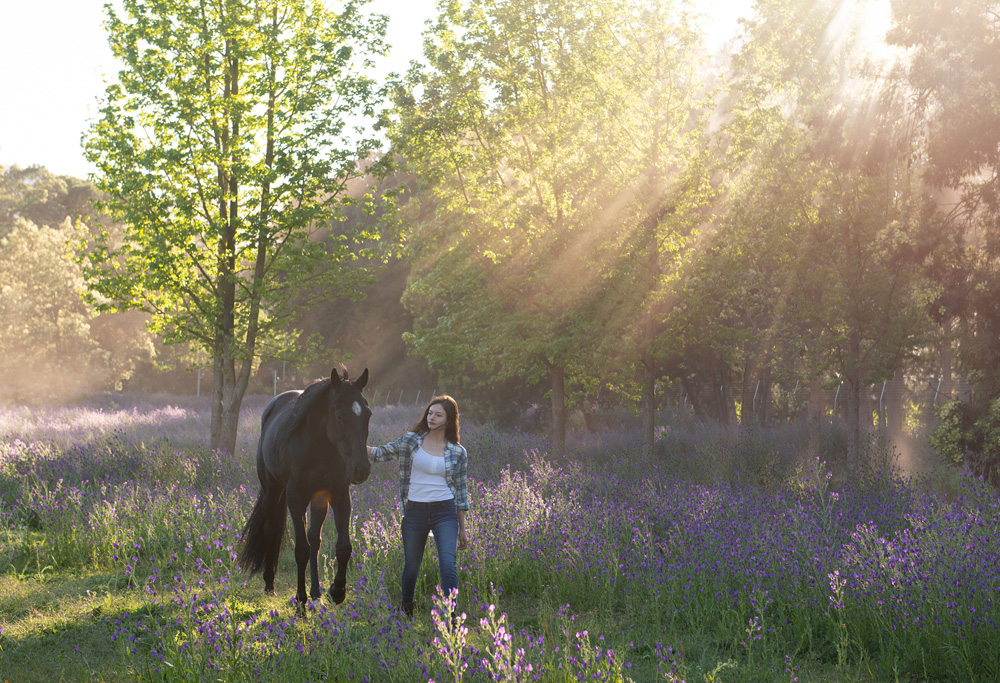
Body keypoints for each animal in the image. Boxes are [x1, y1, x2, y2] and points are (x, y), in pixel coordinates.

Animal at [240, 368, 374, 608]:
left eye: (367, 415)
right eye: (340, 416)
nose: (361, 469)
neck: (320, 448)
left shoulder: (340, 495)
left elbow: (343, 547)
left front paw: (337, 591)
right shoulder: (295, 496)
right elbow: (301, 549)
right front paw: (300, 602)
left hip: (318, 499)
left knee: (314, 538)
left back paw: (316, 592)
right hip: (272, 490)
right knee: (271, 530)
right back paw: (270, 584)